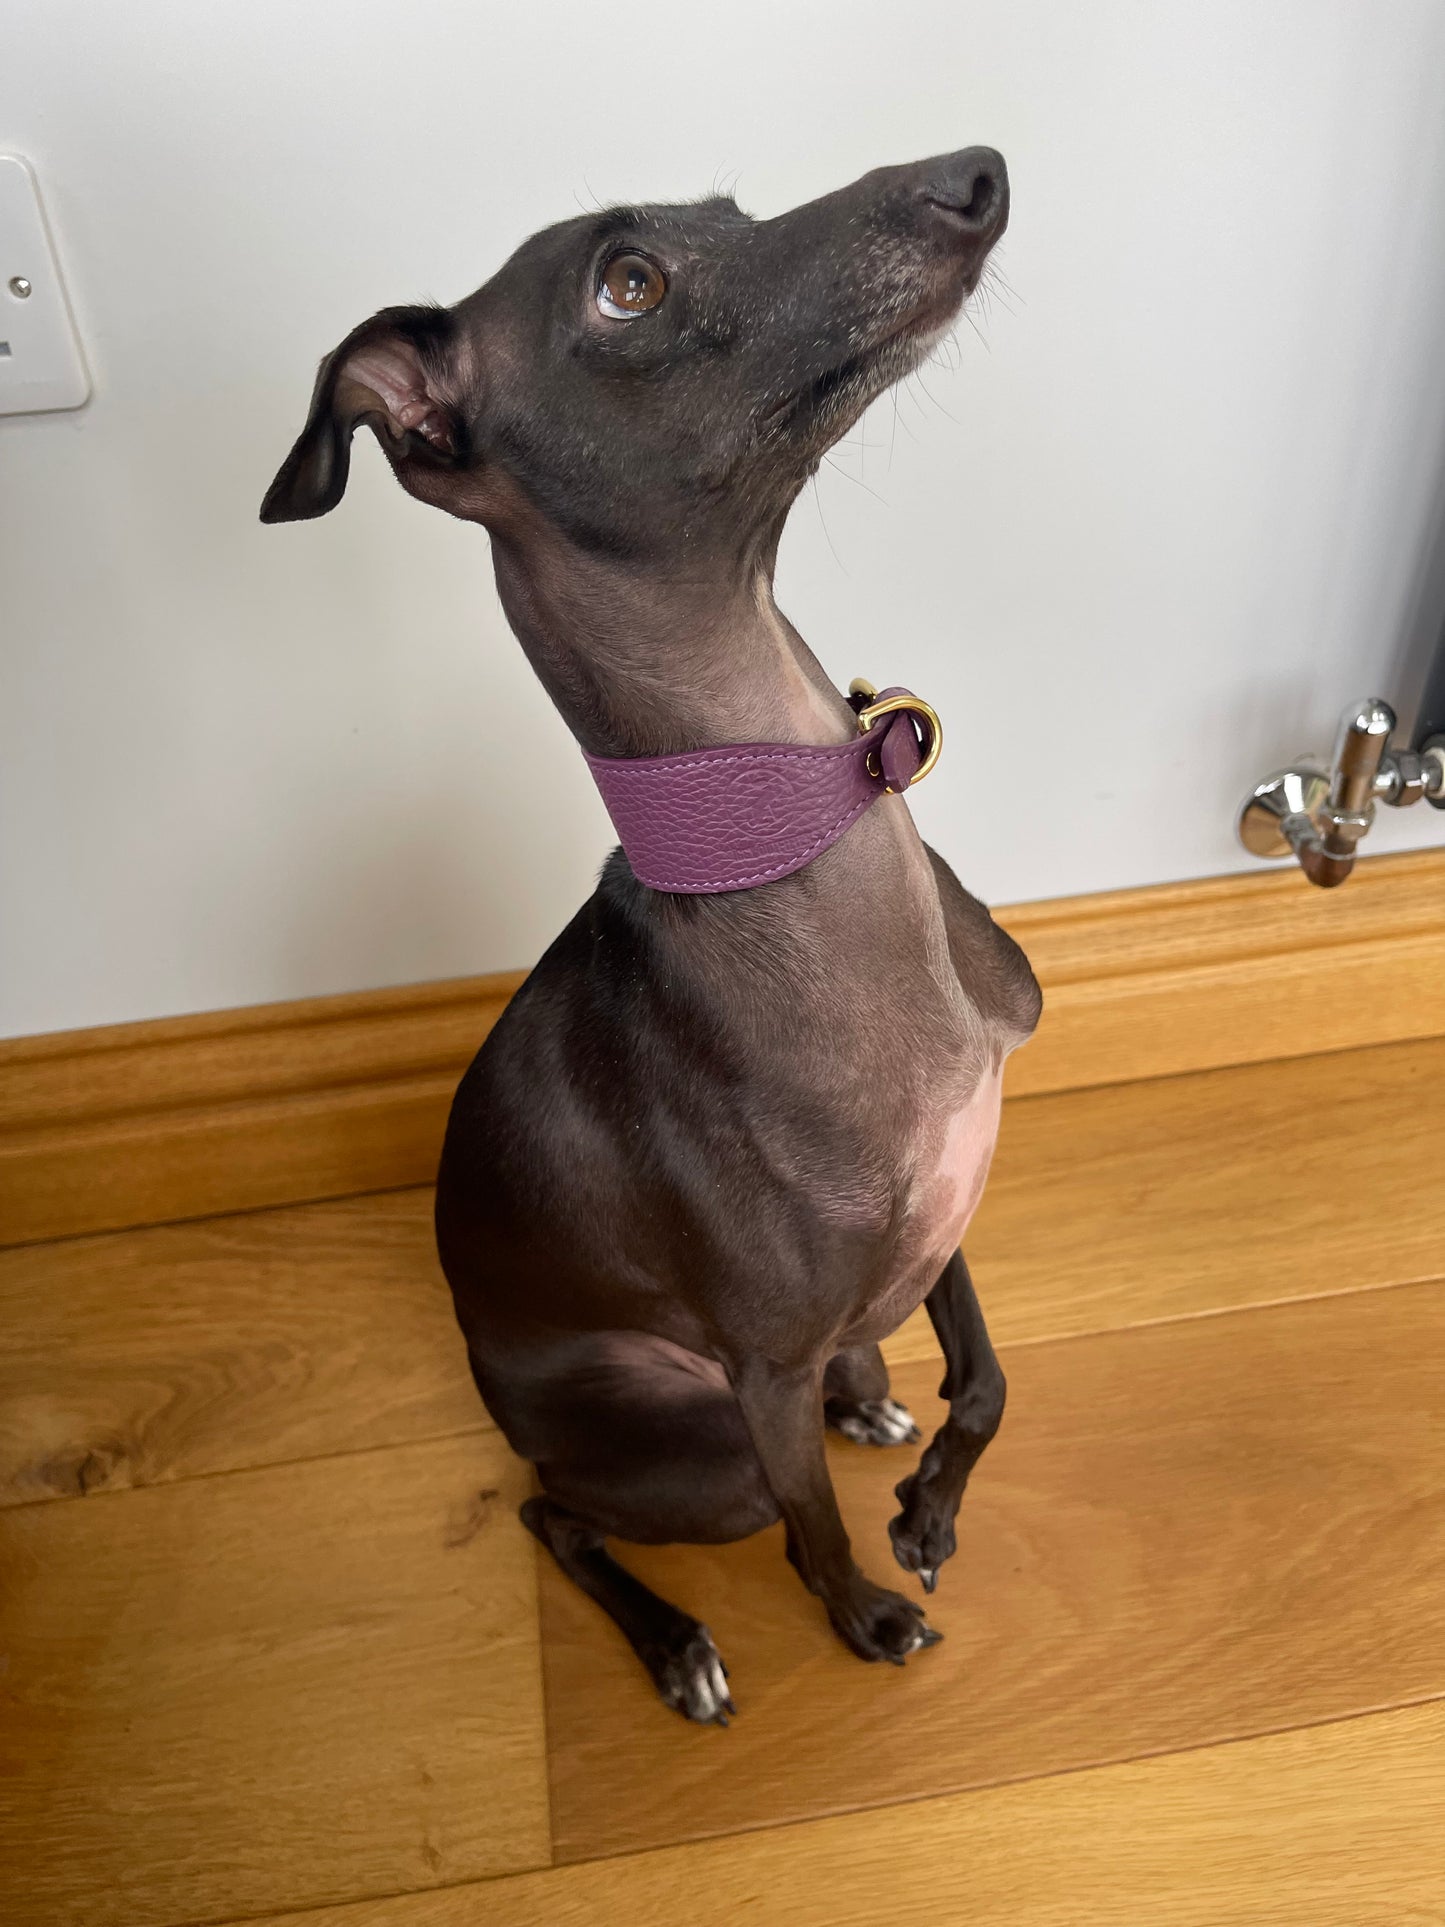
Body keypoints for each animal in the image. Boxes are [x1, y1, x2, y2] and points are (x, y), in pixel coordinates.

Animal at [263, 146, 1040, 1718]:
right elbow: (812, 1535)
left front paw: (932, 1504)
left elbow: (988, 1378)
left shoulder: (947, 1198)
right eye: (627, 284)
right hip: (692, 1440)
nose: (973, 174)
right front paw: (864, 1608)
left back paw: (869, 1402)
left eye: (725, 214)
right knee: (553, 1512)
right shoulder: (757, 1368)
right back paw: (676, 1638)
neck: (792, 848)